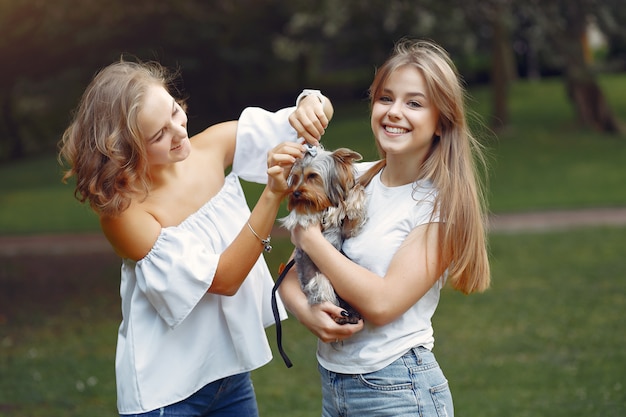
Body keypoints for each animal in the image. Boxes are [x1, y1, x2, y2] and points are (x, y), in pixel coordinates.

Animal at [280, 145, 366, 324]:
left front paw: (353, 202)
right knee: (326, 295)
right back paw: (341, 316)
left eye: (312, 176)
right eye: (296, 178)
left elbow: (353, 203)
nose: (295, 193)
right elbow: (304, 212)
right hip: (318, 280)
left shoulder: (346, 230)